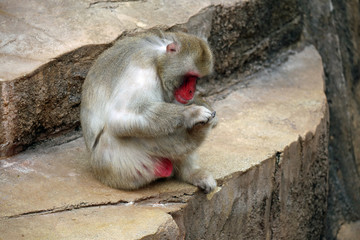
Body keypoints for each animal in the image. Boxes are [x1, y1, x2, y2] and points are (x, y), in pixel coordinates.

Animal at [80, 30, 218, 194]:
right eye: (189, 76)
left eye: (196, 79)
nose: (191, 91)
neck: (158, 61)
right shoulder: (142, 71)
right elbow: (120, 116)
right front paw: (191, 114)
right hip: (120, 165)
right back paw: (193, 136)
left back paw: (190, 173)